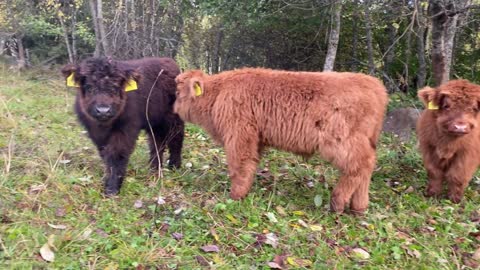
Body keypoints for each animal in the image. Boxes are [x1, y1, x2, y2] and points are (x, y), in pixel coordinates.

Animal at [61, 57, 184, 196]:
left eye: (115, 87)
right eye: (89, 87)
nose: (103, 110)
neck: (104, 126)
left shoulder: (125, 130)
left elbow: (117, 154)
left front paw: (112, 188)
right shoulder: (95, 134)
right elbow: (105, 154)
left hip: (174, 118)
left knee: (176, 138)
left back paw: (174, 166)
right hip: (154, 121)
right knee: (157, 143)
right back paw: (154, 168)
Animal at [174, 67, 388, 213]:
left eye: (177, 92)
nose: (173, 108)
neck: (218, 92)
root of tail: (375, 86)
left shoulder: (239, 135)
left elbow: (239, 167)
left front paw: (235, 195)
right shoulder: (256, 140)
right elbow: (249, 166)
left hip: (340, 142)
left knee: (360, 165)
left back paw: (338, 202)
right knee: (367, 168)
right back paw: (359, 207)